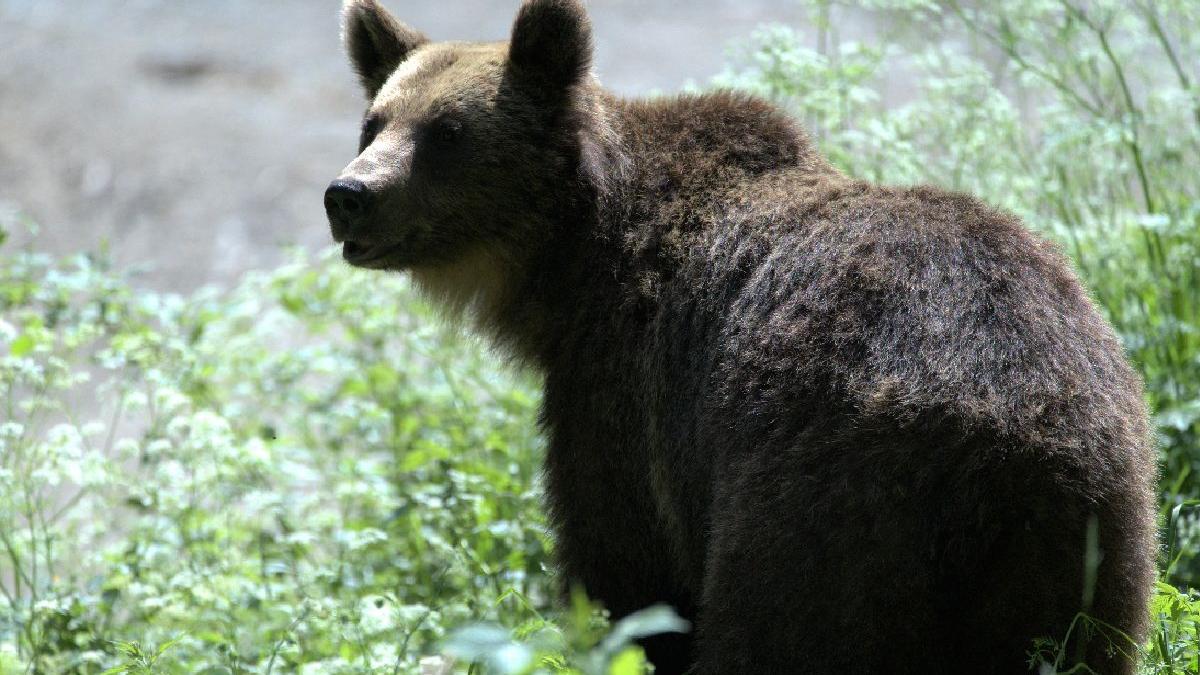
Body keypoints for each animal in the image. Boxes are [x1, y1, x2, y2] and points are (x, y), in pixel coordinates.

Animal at [324, 2, 1156, 667]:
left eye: (447, 131)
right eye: (375, 120)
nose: (349, 194)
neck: (577, 261)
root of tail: (997, 430)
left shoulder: (627, 400)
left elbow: (625, 578)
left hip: (822, 497)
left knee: (773, 627)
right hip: (1087, 531)